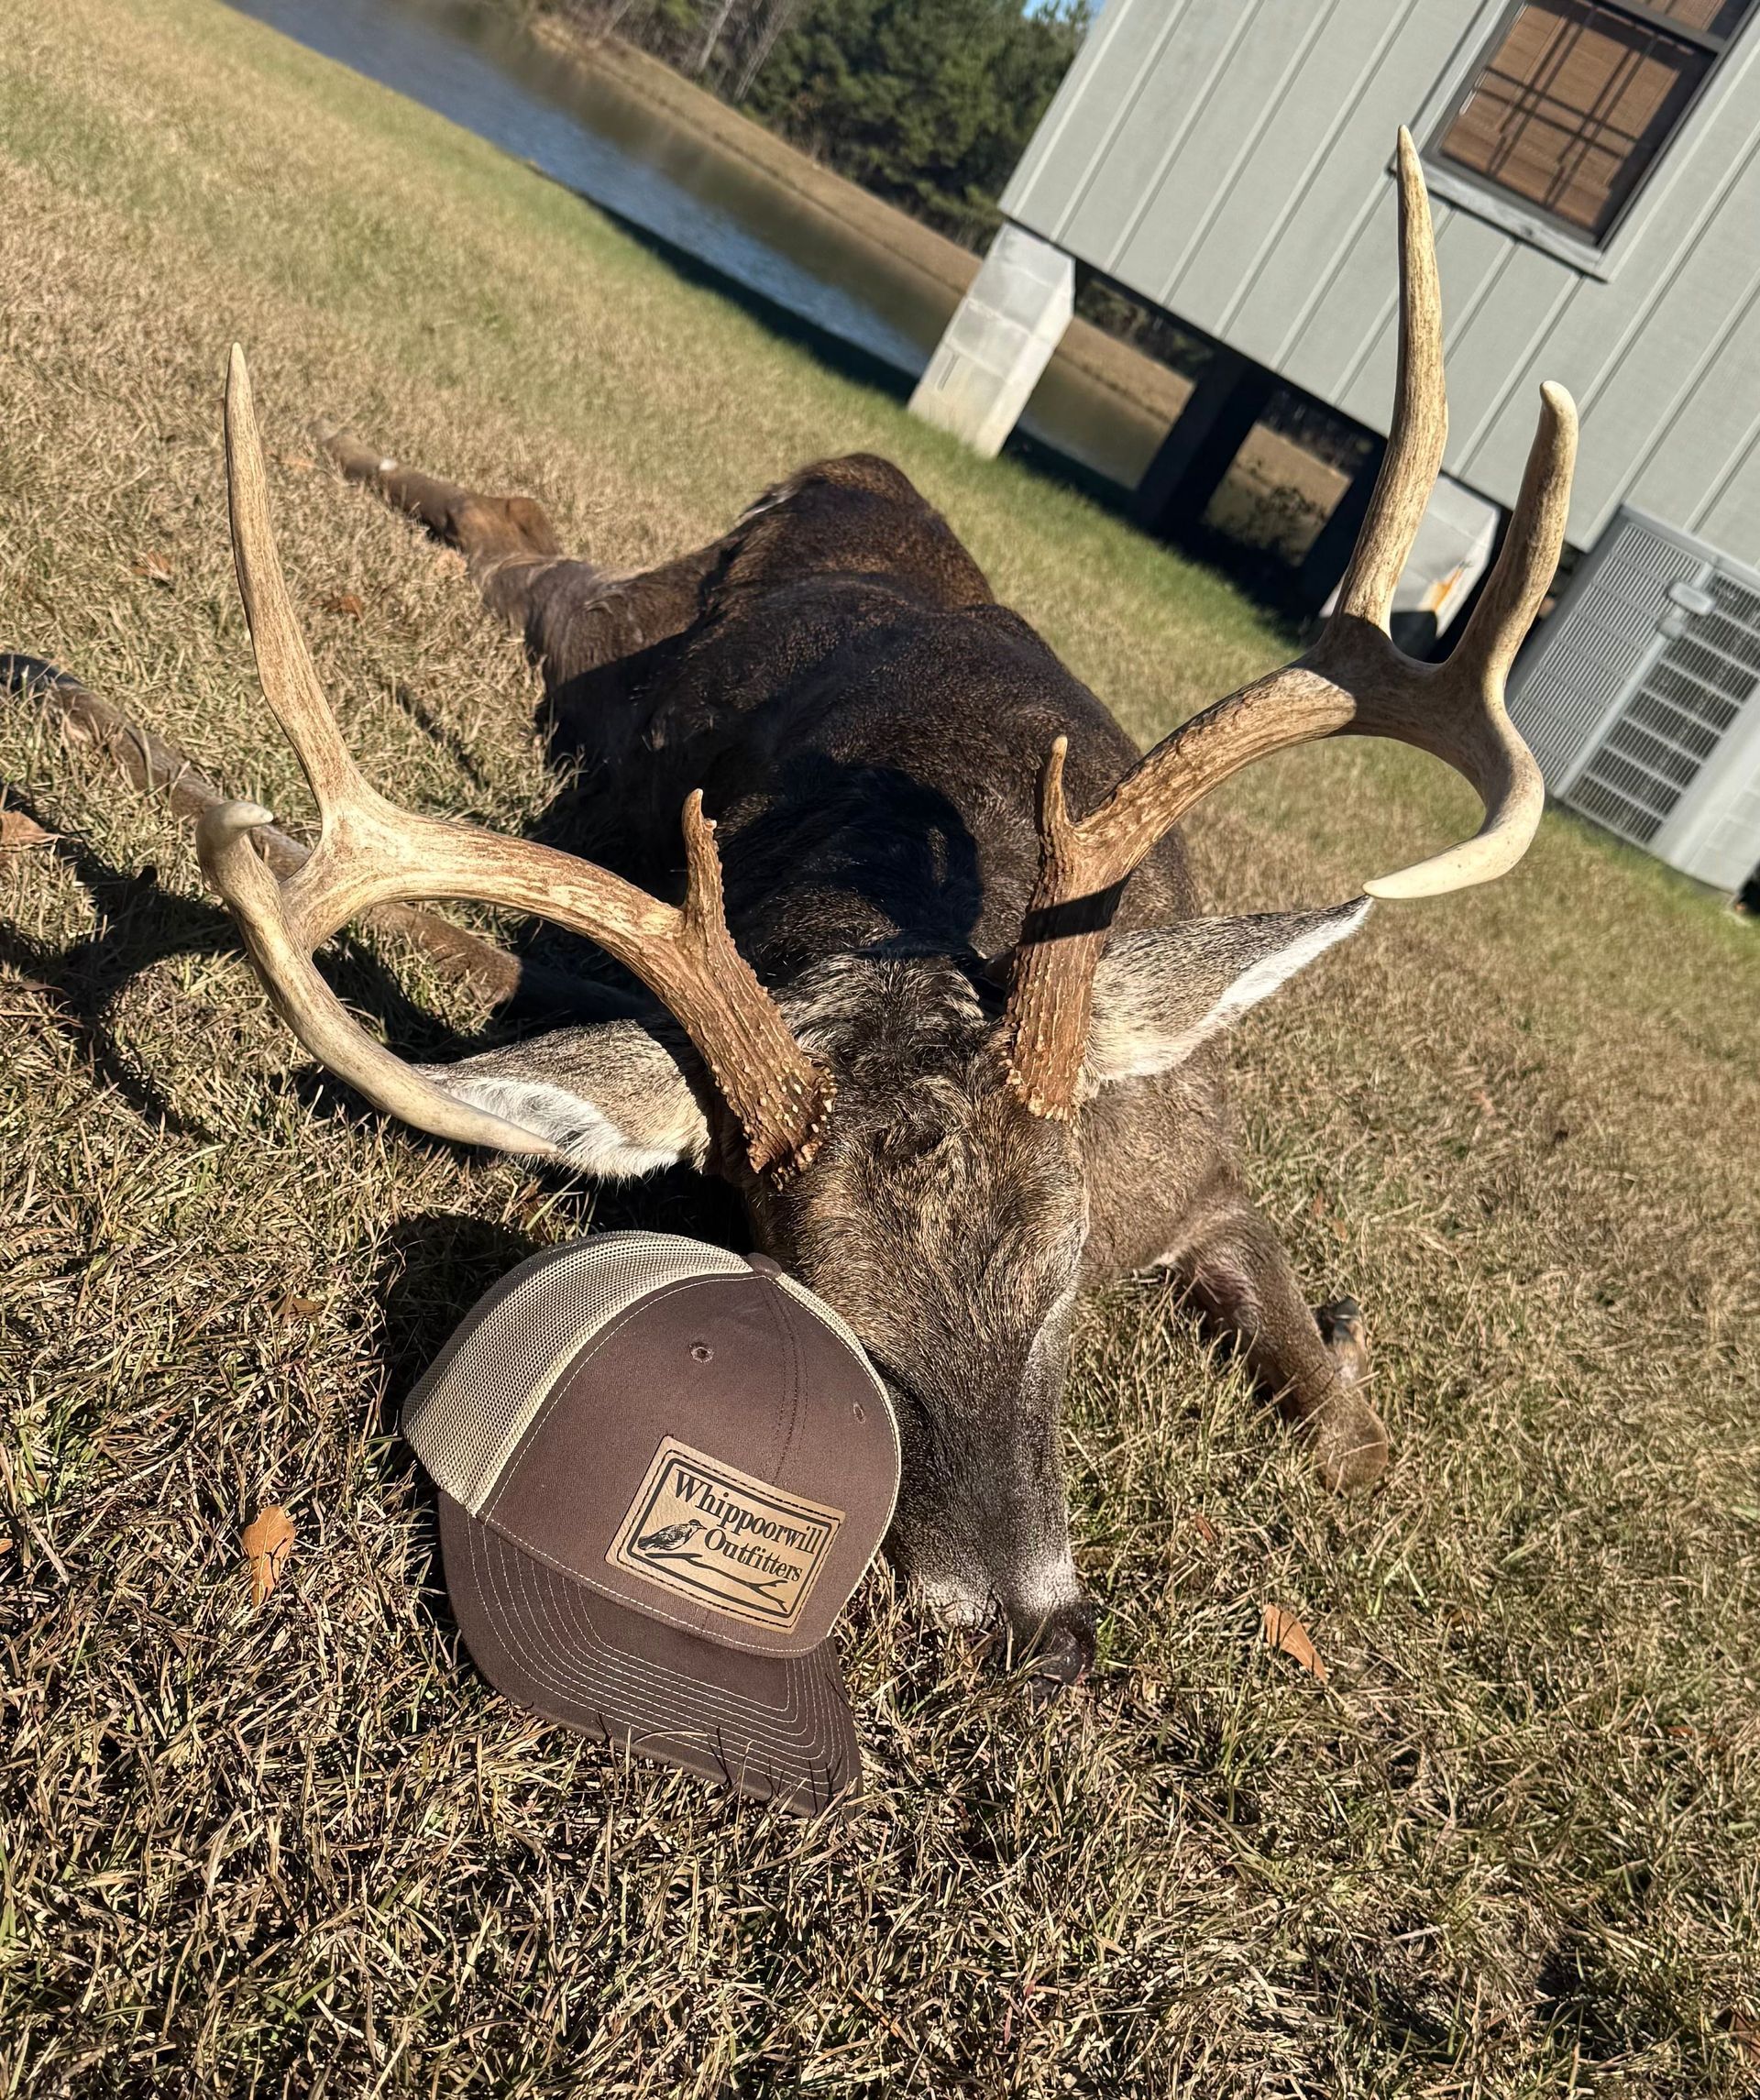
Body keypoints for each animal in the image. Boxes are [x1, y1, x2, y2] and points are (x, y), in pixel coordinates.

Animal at [196, 137, 1574, 1685]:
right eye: (827, 1313)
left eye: (1063, 1283)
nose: (1034, 1636)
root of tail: (851, 466)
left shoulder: (1198, 1166)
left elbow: (1356, 1448)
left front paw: (1342, 1337)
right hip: (611, 647)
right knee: (527, 543)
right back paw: (334, 449)